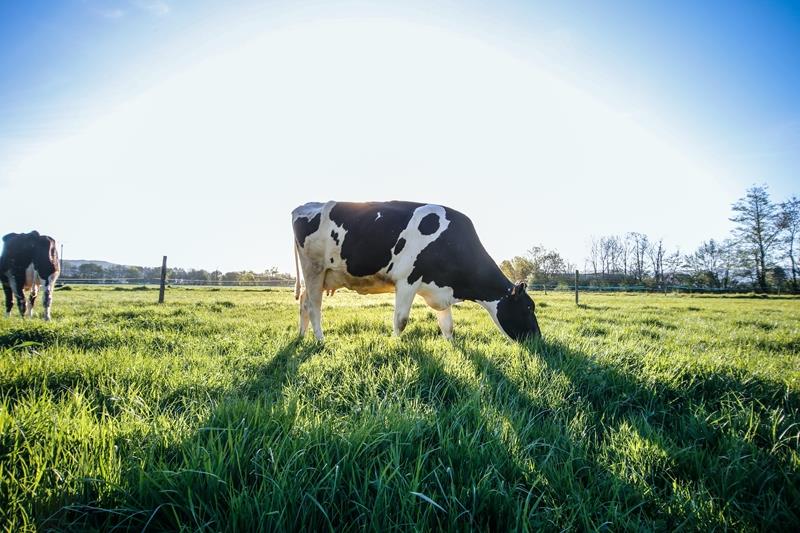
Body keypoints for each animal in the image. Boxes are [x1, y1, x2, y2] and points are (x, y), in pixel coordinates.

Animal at [290, 200, 540, 340]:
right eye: (529, 307)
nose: (538, 339)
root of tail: (305, 206)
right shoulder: (407, 280)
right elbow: (400, 321)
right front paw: (394, 344)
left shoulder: (440, 288)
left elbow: (448, 326)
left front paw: (452, 346)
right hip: (314, 268)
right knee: (314, 306)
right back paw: (320, 340)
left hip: (320, 275)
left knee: (303, 301)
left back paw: (301, 336)